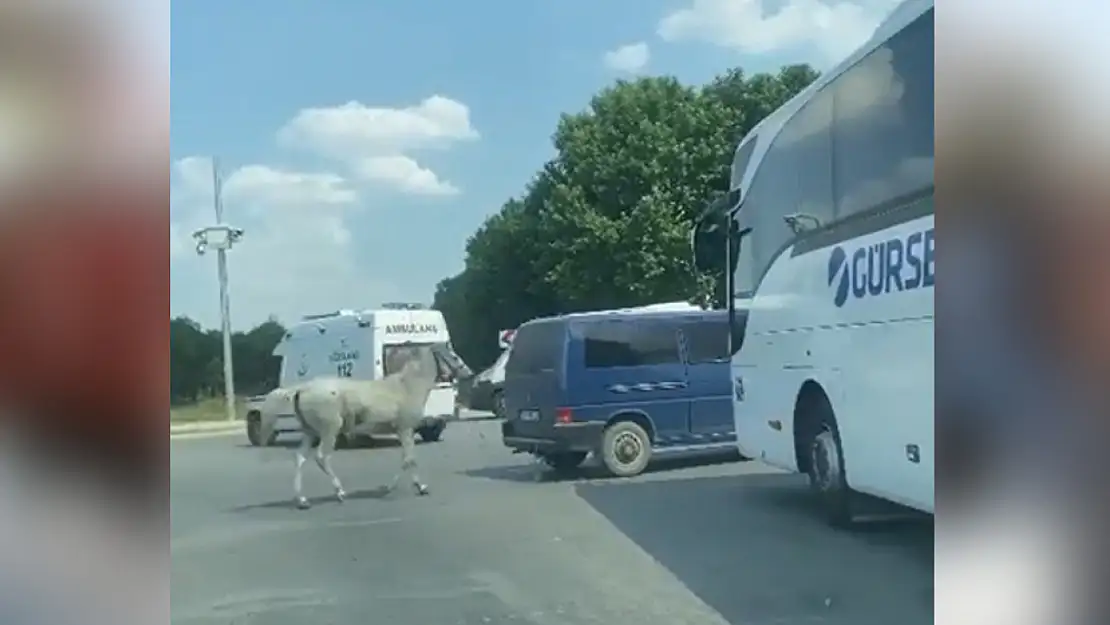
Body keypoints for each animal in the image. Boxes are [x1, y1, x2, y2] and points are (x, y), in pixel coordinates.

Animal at [257, 344, 466, 510]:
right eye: (454, 356)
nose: (468, 373)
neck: (407, 387)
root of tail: (302, 389)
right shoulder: (405, 429)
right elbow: (409, 459)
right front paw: (410, 488)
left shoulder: (402, 431)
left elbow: (408, 458)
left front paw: (413, 486)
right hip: (329, 430)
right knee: (321, 457)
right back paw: (339, 492)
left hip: (310, 431)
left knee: (300, 458)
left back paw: (302, 500)